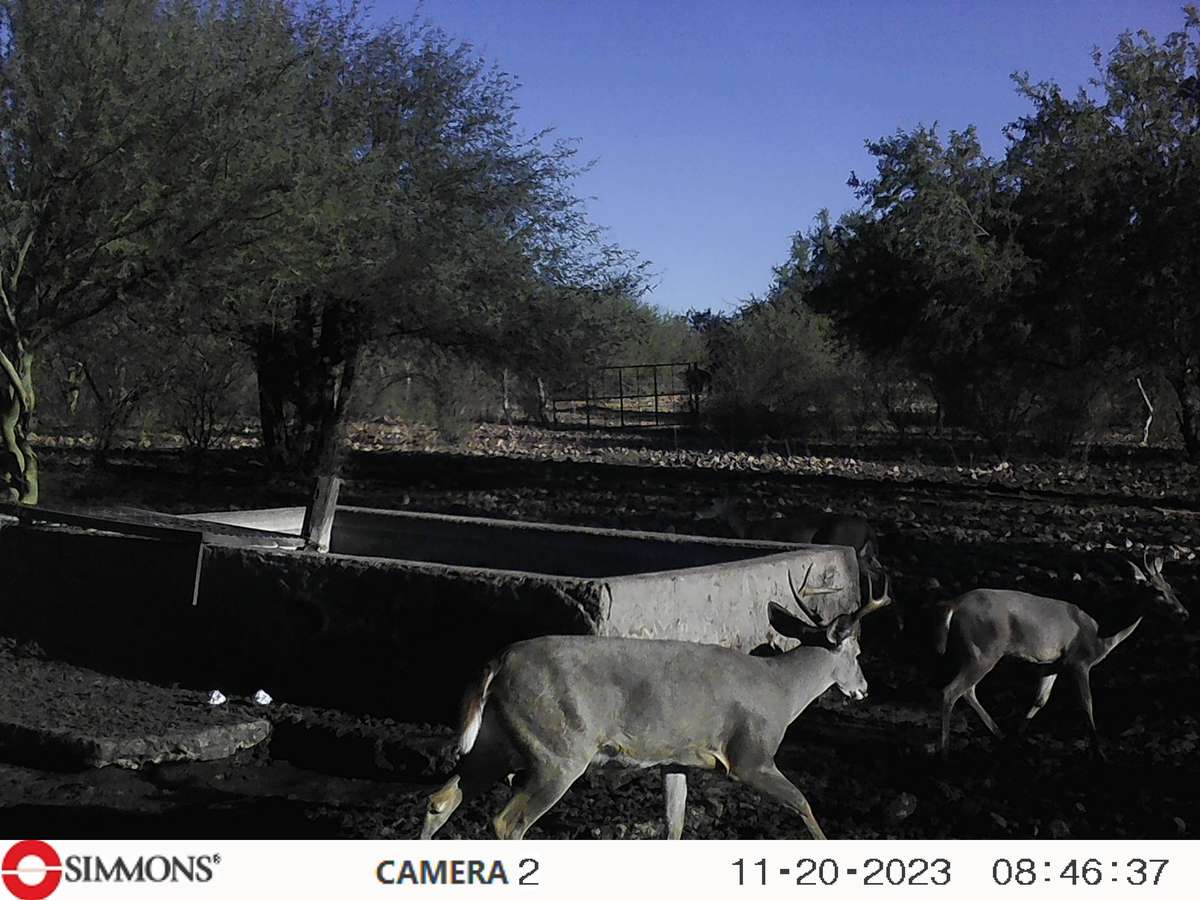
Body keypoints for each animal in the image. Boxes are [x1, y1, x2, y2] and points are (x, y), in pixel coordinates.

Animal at [419, 563, 892, 841]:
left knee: (440, 800)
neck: (781, 690)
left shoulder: (678, 758)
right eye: (857, 652)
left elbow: (675, 822)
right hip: (558, 749)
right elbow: (803, 804)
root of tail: (498, 661)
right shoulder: (750, 755)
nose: (864, 689)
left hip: (498, 740)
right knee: (506, 822)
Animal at [935, 552, 1188, 759]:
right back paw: (945, 751)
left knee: (968, 691)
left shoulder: (1051, 663)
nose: (1184, 613)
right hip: (984, 649)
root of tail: (953, 604)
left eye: (1171, 587)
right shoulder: (1079, 661)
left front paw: (1017, 739)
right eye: (1158, 591)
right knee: (950, 691)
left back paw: (1000, 735)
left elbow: (1040, 699)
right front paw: (1100, 753)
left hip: (977, 652)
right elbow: (1087, 704)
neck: (1104, 630)